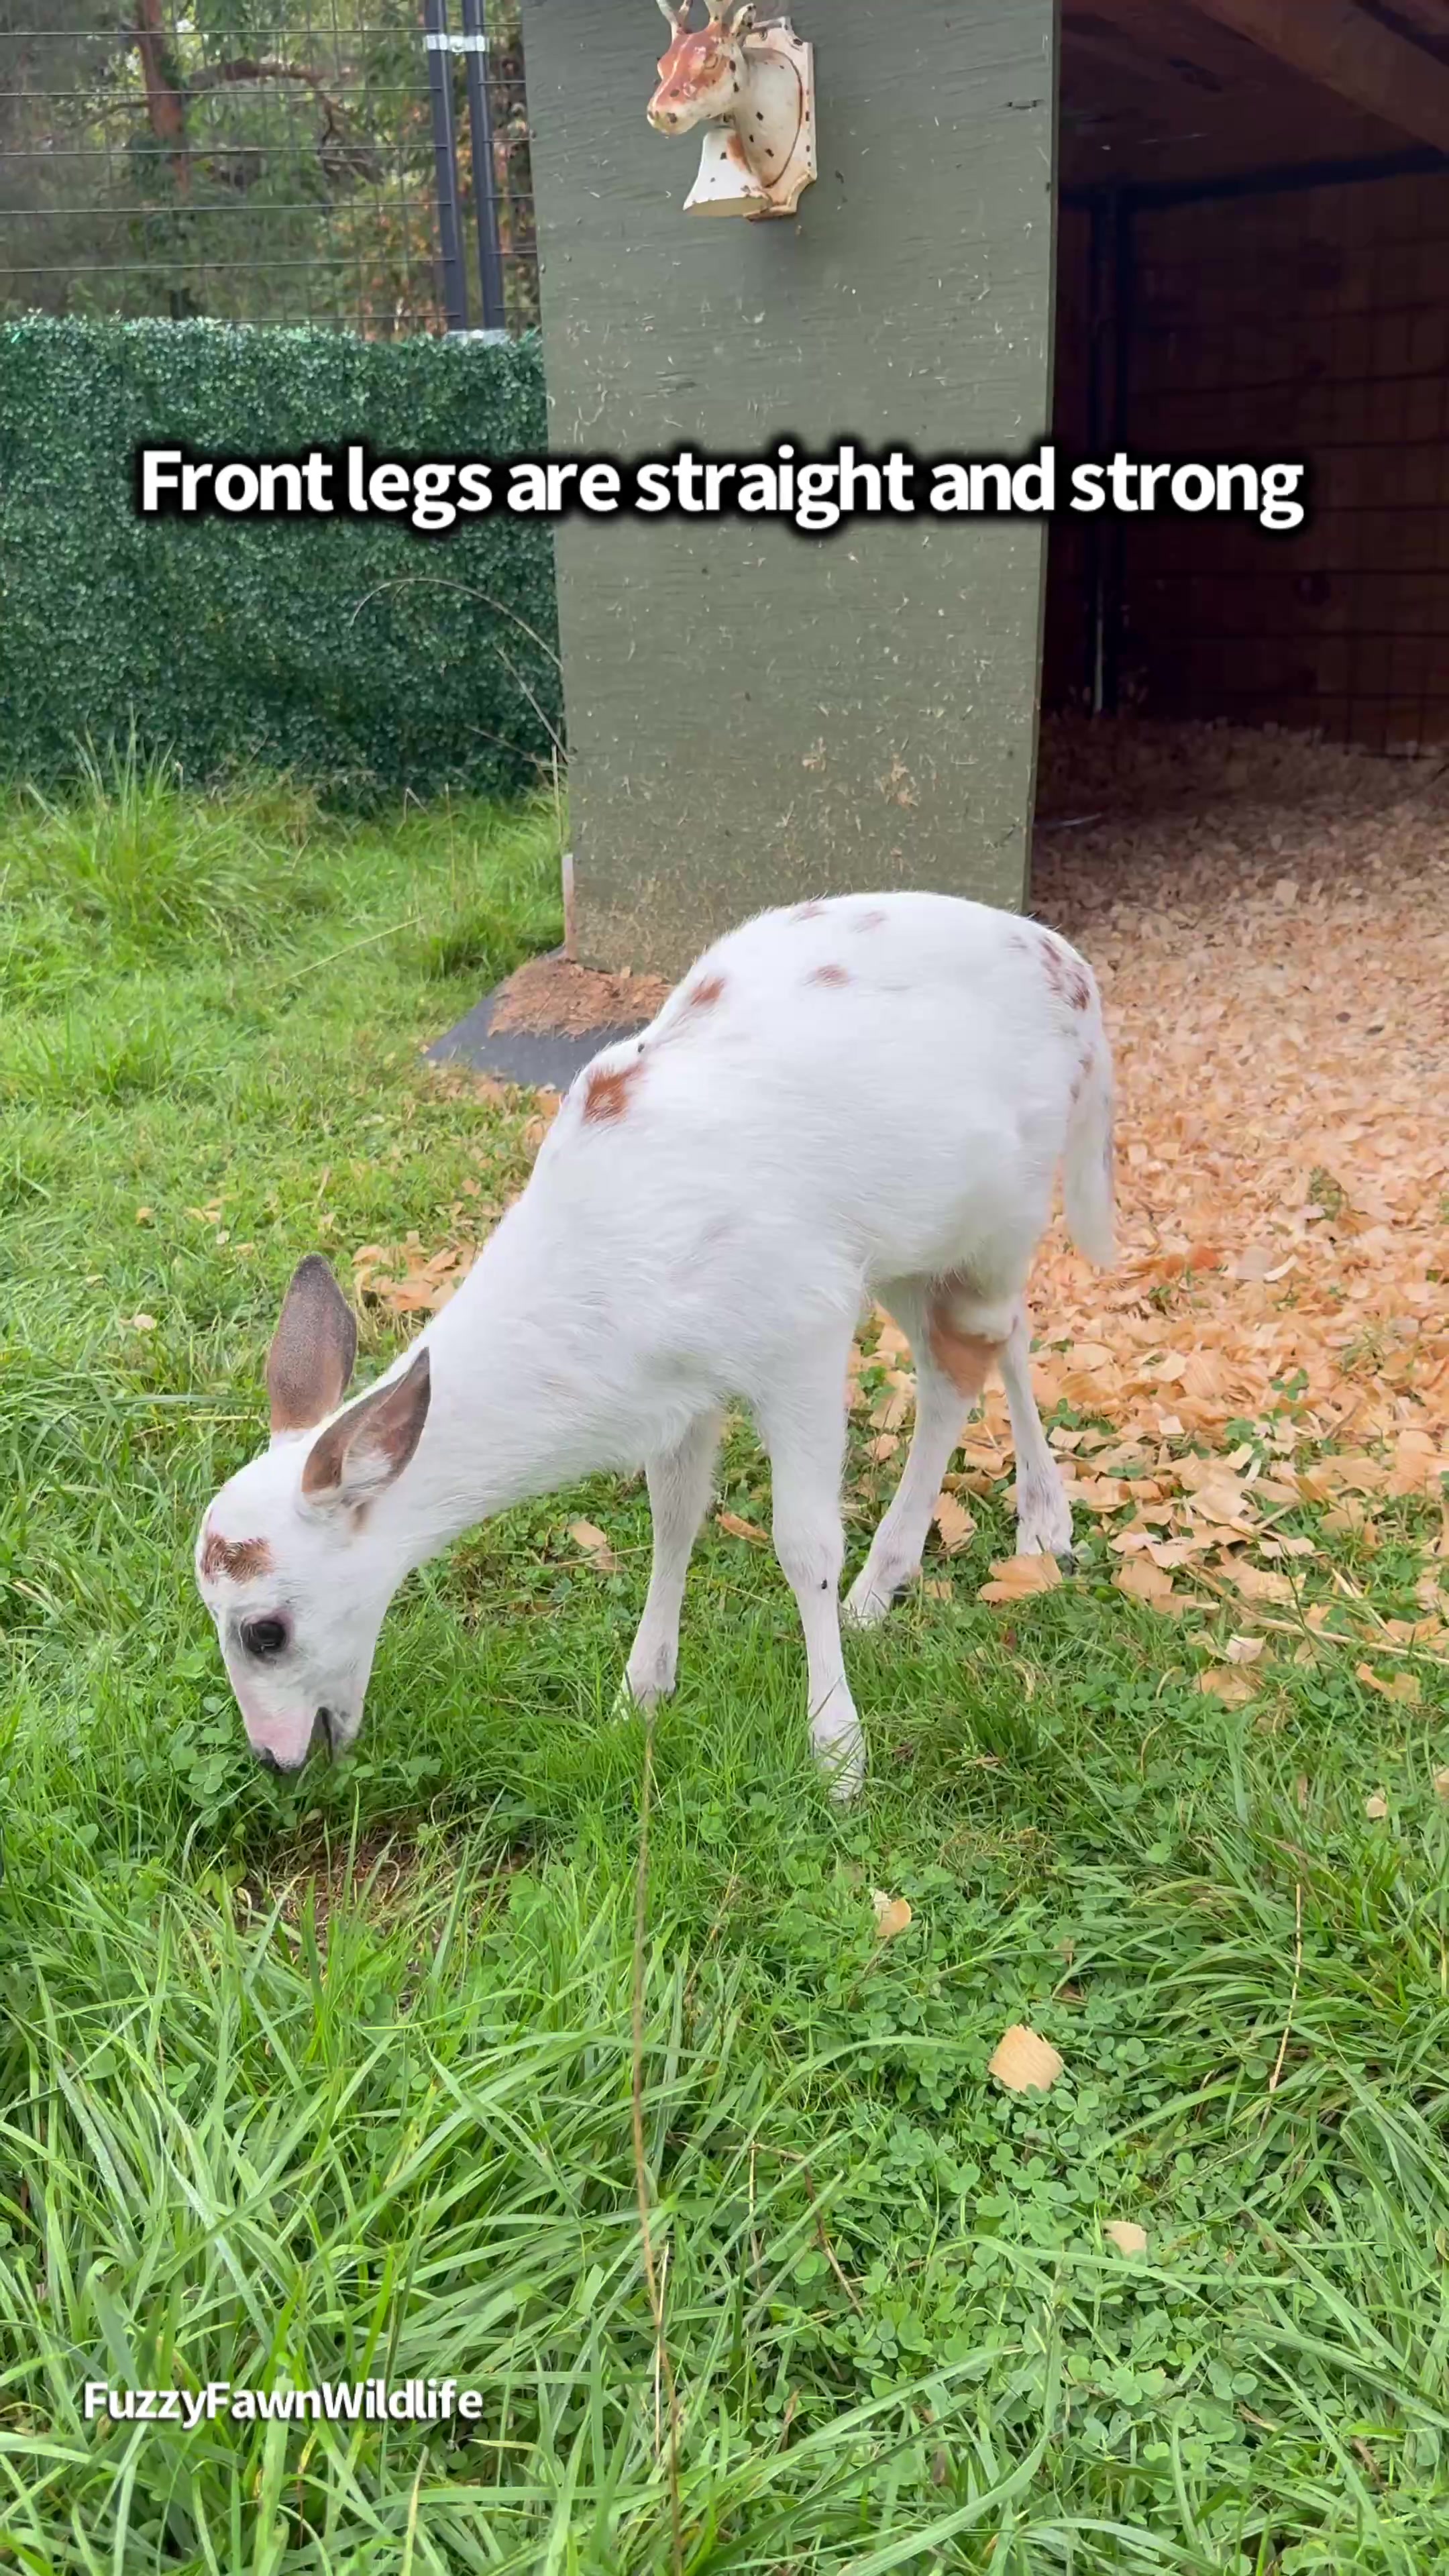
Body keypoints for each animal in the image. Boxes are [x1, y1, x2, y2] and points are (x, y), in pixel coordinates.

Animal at [195, 890, 1115, 1804]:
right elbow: (674, 1519)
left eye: (266, 1631)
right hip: (911, 1248)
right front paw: (639, 1693)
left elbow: (805, 1544)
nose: (275, 1758)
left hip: (1001, 1216)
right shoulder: (684, 1390)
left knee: (966, 1358)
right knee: (996, 1339)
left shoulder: (802, 1332)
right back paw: (999, 1541)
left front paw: (838, 1750)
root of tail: (1078, 976)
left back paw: (944, 1562)